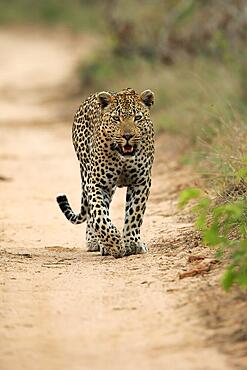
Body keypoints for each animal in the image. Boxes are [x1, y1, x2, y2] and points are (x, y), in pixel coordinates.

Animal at [57, 88, 155, 258]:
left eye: (137, 118)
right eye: (116, 118)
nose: (127, 136)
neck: (123, 158)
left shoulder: (141, 182)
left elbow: (135, 213)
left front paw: (132, 243)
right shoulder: (97, 184)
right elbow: (100, 215)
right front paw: (115, 244)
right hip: (87, 173)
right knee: (92, 213)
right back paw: (94, 242)